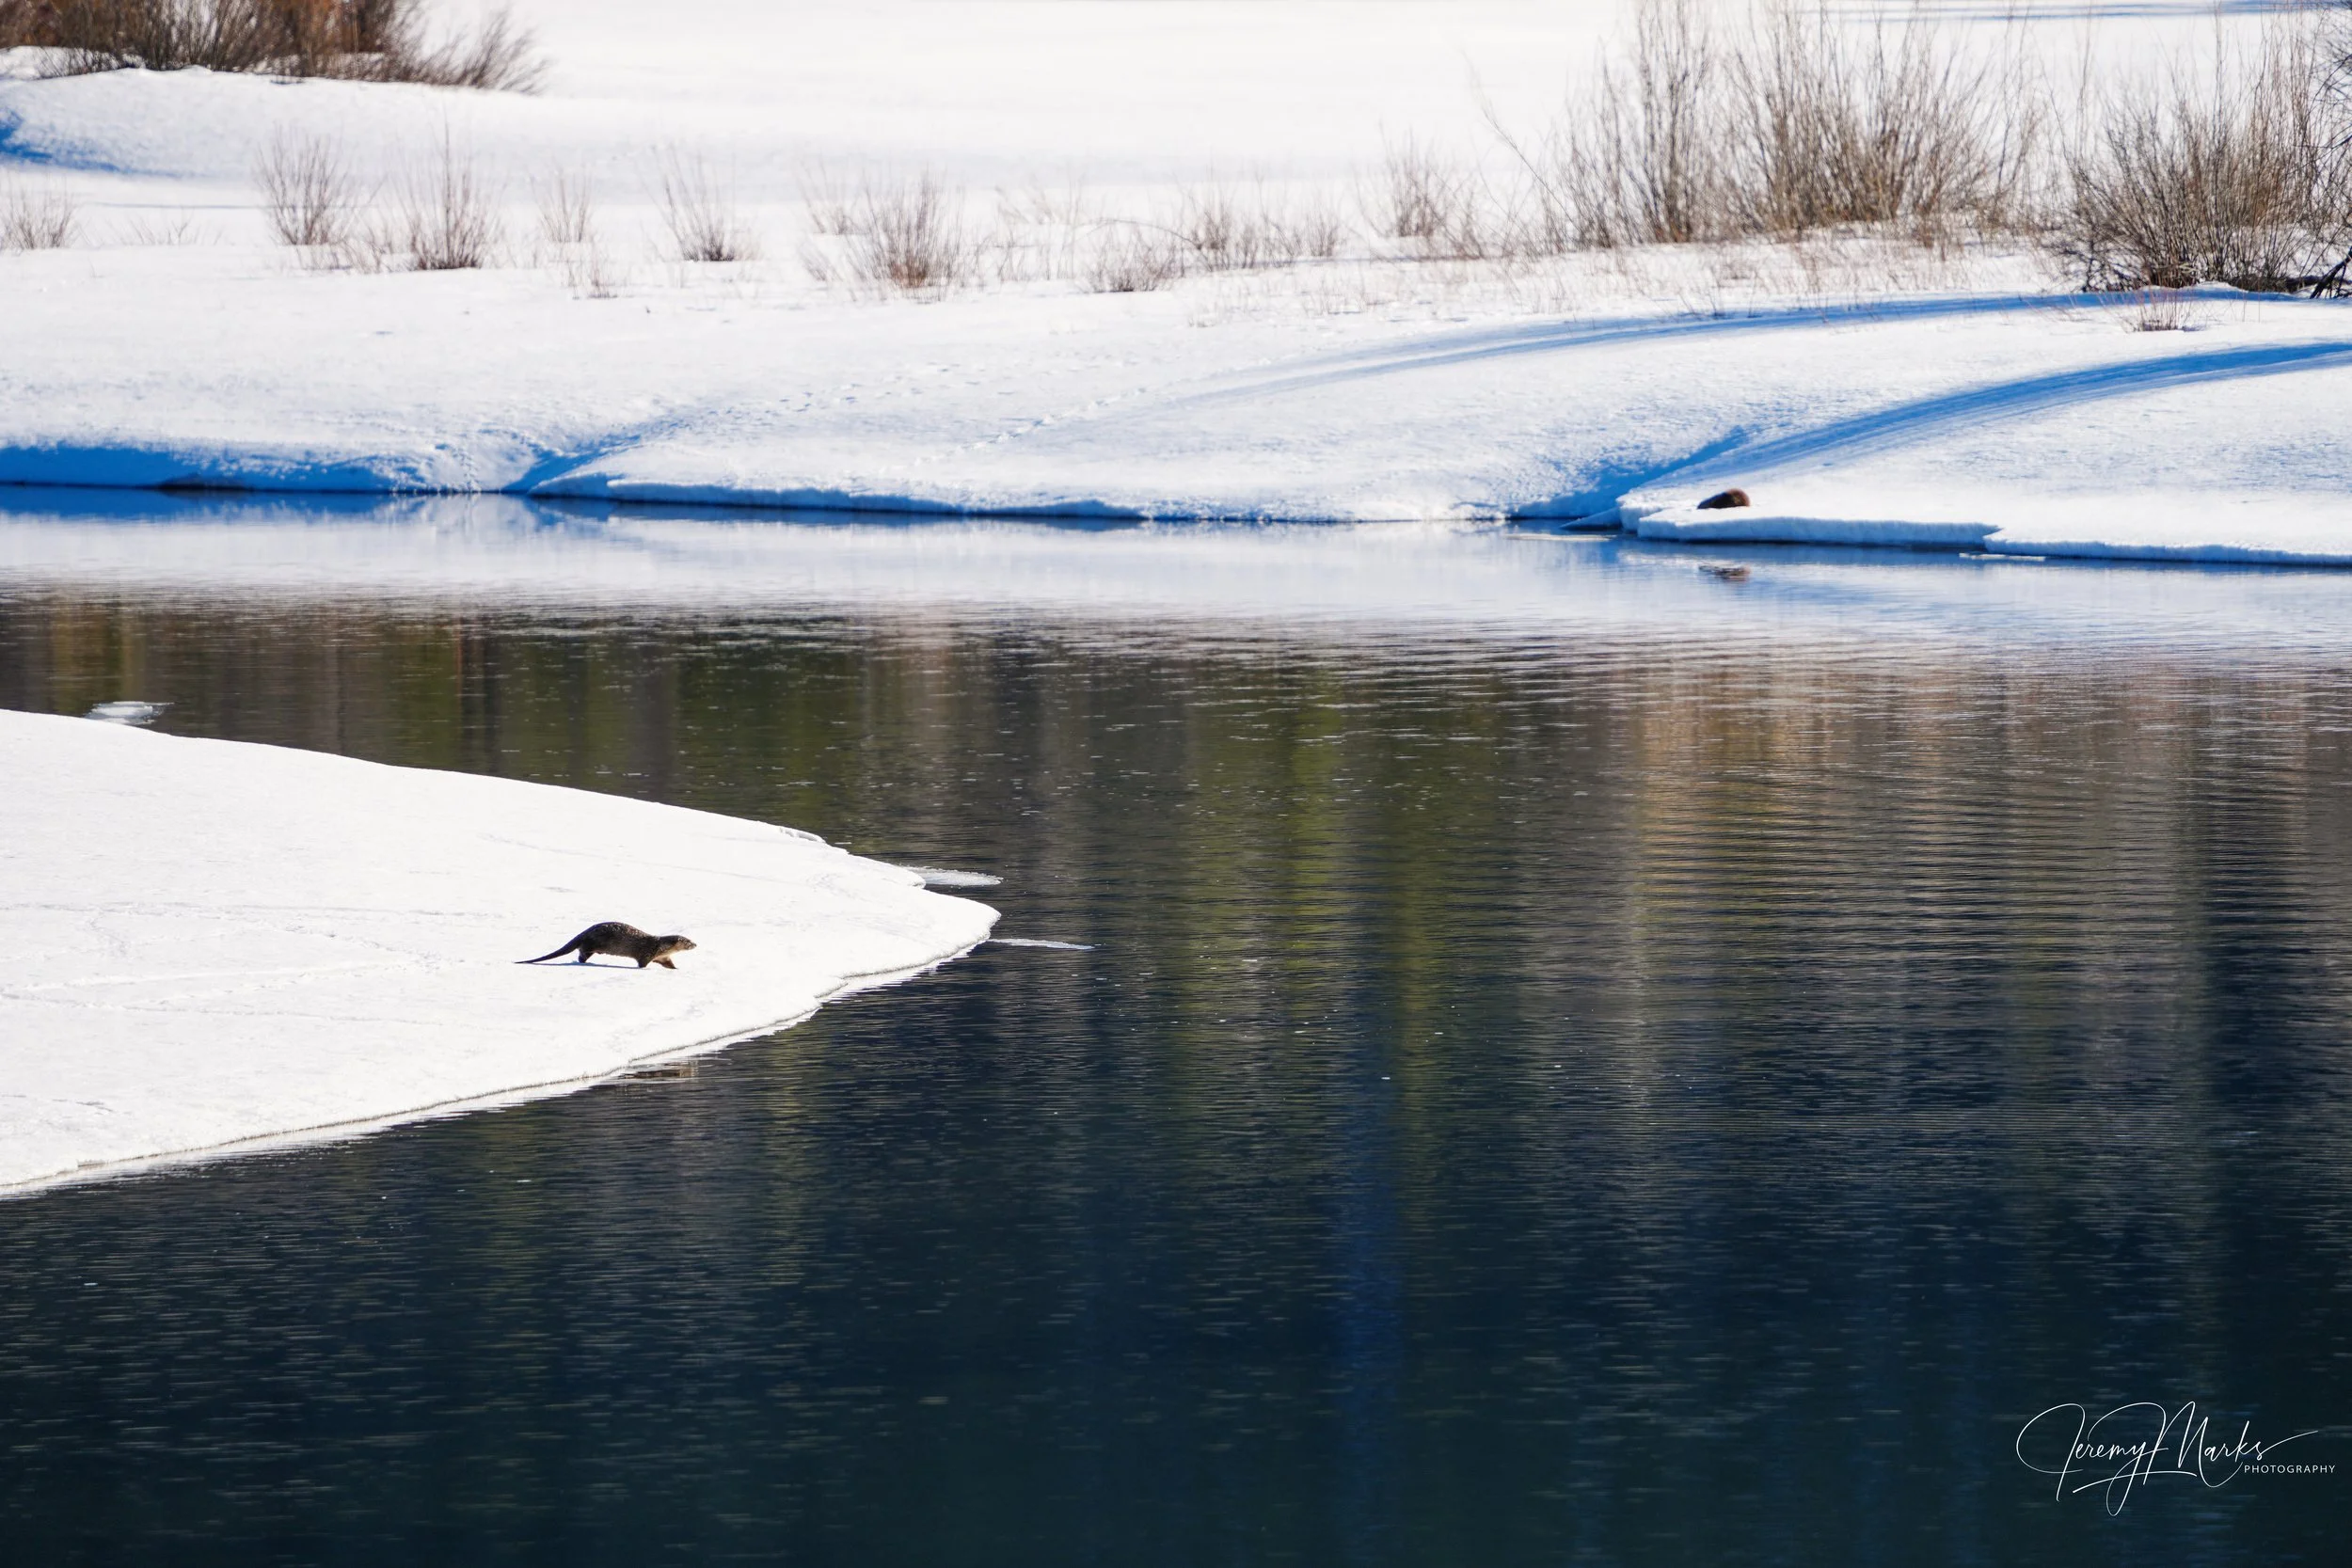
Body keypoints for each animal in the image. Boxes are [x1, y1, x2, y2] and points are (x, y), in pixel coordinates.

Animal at [520, 922, 698, 969]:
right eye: (688, 942)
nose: (696, 944)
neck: (660, 947)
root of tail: (584, 932)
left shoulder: (664, 957)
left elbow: (669, 964)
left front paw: (676, 969)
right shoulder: (647, 953)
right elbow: (642, 963)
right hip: (591, 943)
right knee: (582, 952)